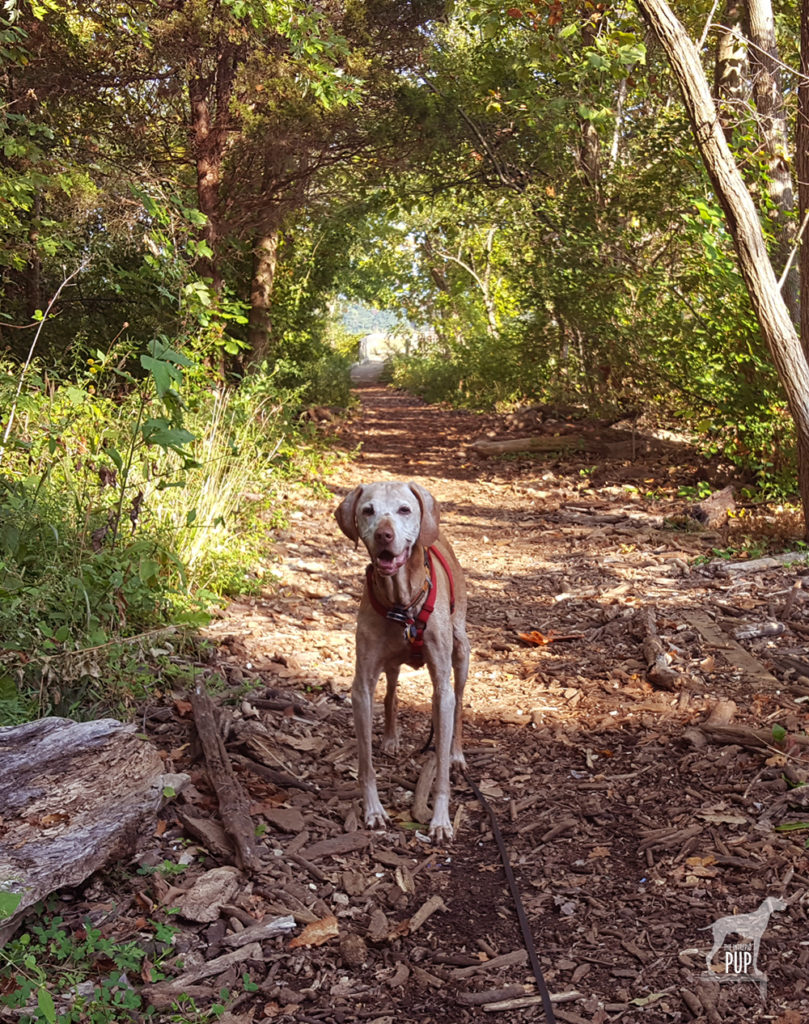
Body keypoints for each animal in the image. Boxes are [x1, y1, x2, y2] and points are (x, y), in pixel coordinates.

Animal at [335, 479, 469, 839]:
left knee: (460, 704)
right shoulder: (361, 687)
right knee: (392, 690)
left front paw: (440, 819)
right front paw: (373, 810)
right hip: (390, 662)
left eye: (404, 509)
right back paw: (392, 737)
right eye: (368, 510)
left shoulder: (442, 687)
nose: (384, 535)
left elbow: (441, 767)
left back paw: (456, 753)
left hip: (462, 652)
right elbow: (366, 764)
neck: (403, 603)